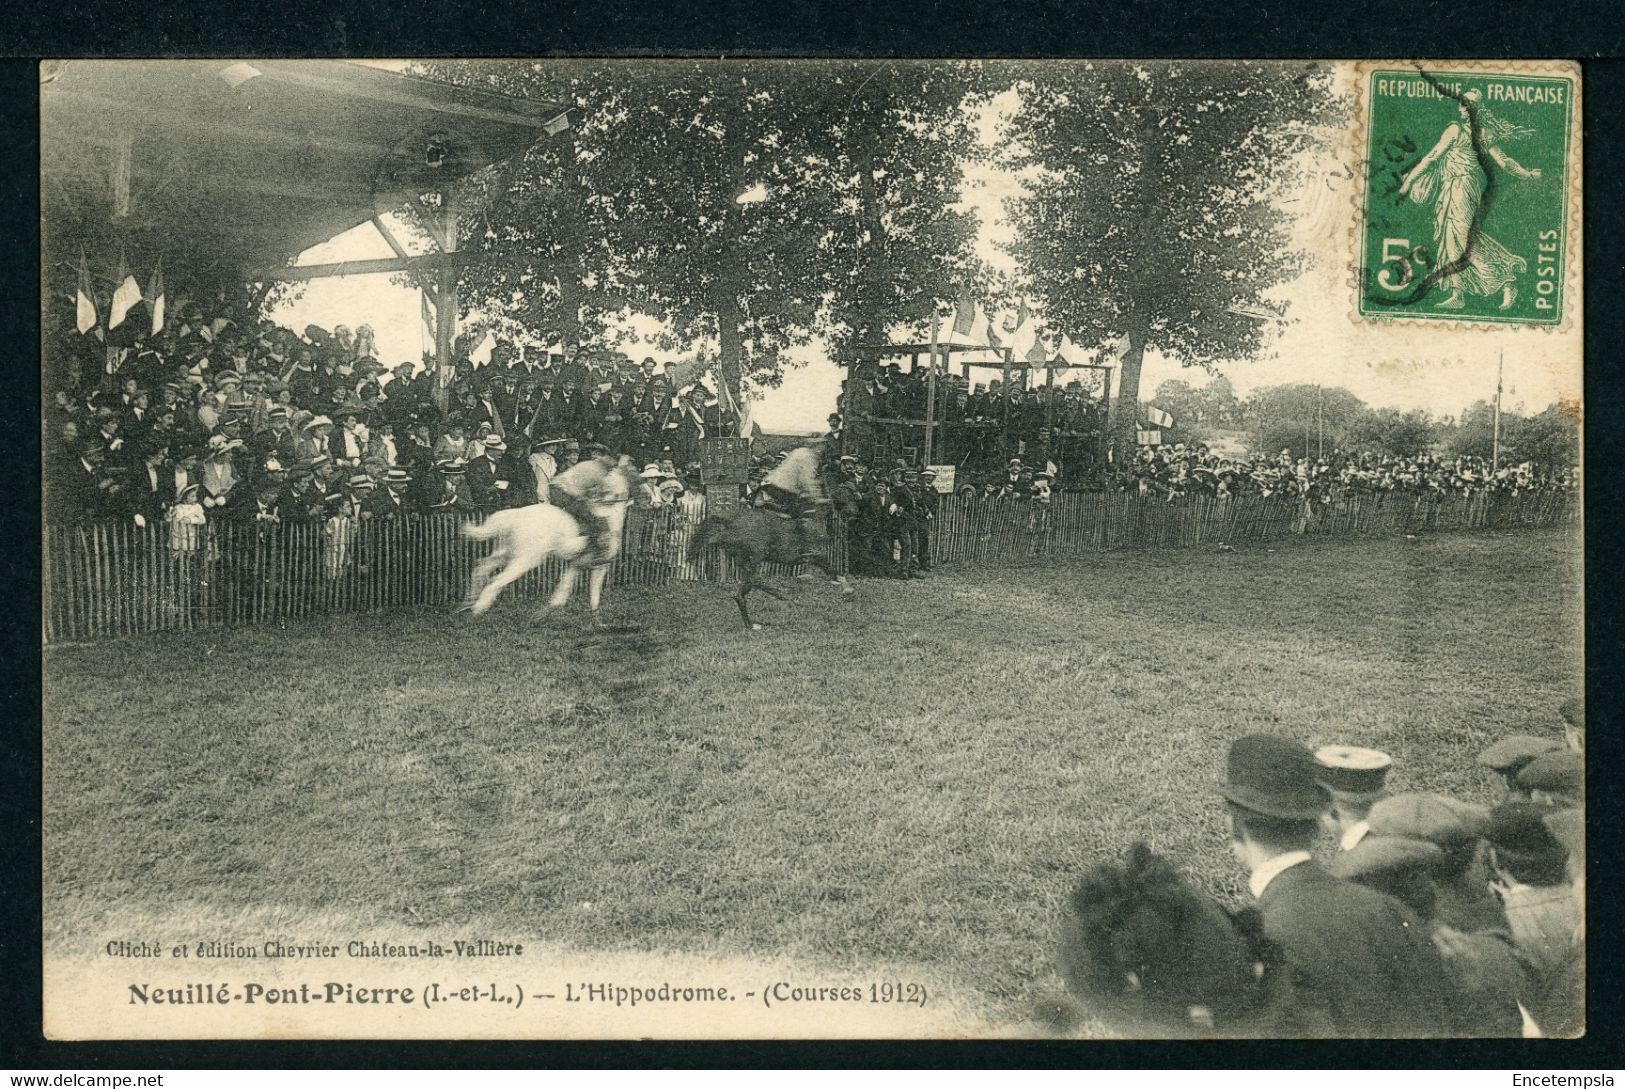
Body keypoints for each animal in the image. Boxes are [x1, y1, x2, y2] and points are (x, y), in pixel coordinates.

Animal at [464, 464, 640, 627]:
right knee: (496, 581)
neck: (610, 516)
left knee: (482, 567)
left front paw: (538, 617)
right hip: (527, 559)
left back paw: (468, 602)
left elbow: (562, 596)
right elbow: (590, 597)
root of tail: (515, 517)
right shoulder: (599, 566)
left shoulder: (577, 564)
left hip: (508, 552)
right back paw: (478, 609)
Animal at [689, 507, 858, 630]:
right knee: (749, 586)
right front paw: (846, 588)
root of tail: (727, 525)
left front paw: (844, 586)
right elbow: (832, 570)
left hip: (748, 561)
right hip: (754, 559)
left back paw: (755, 620)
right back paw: (777, 602)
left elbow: (831, 571)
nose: (854, 512)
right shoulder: (812, 554)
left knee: (746, 588)